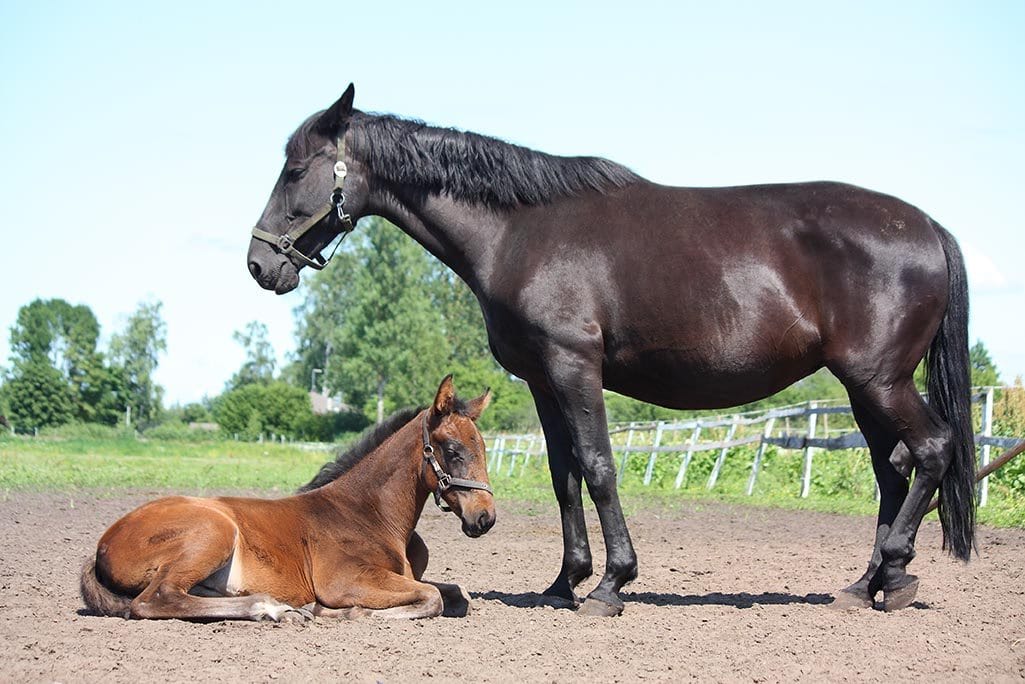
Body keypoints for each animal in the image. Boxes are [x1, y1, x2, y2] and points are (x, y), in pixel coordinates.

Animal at [80, 377, 496, 623]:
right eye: (453, 451)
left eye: (483, 448)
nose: (485, 518)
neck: (369, 514)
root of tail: (102, 545)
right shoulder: (345, 580)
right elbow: (431, 598)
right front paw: (352, 614)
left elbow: (454, 593)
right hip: (213, 531)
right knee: (156, 600)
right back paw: (273, 608)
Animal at [248, 84, 975, 615]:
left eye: (295, 170)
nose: (261, 265)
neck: (518, 231)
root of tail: (926, 226)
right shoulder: (543, 380)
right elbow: (563, 476)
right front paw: (564, 582)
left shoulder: (575, 367)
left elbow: (598, 468)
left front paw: (609, 585)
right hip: (863, 387)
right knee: (892, 470)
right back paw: (870, 583)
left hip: (878, 379)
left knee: (930, 450)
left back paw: (892, 575)